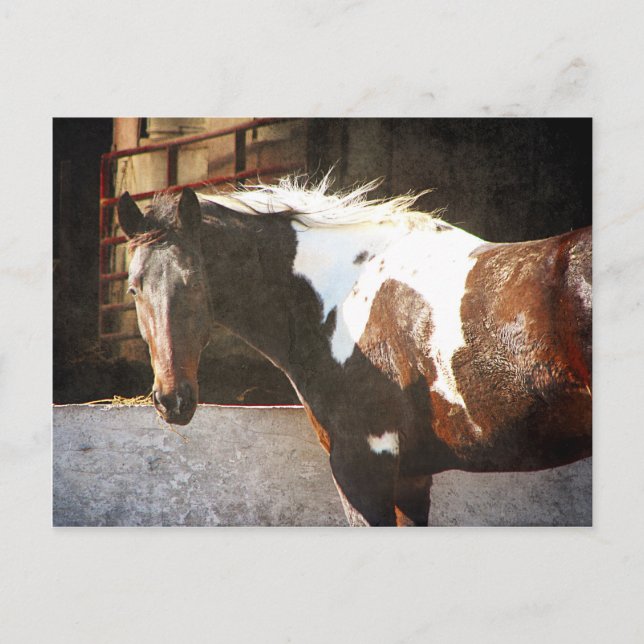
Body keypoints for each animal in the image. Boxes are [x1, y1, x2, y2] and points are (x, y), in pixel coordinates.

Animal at [117, 177, 592, 526]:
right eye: (134, 289)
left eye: (195, 283)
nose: (172, 400)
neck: (342, 297)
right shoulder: (411, 478)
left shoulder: (361, 465)